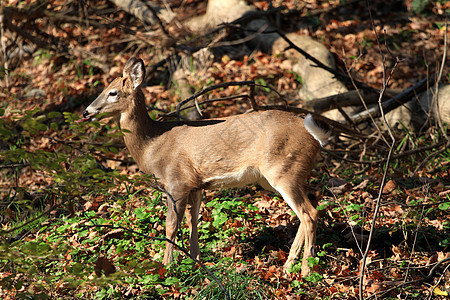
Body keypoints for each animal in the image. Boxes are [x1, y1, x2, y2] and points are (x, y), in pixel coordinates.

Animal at [81, 56, 330, 276]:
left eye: (112, 92)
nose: (86, 112)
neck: (152, 145)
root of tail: (314, 137)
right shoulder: (196, 185)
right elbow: (193, 221)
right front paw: (196, 262)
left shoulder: (177, 180)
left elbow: (171, 224)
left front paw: (167, 266)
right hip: (279, 176)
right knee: (312, 201)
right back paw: (289, 266)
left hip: (283, 171)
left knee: (309, 213)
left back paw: (306, 270)